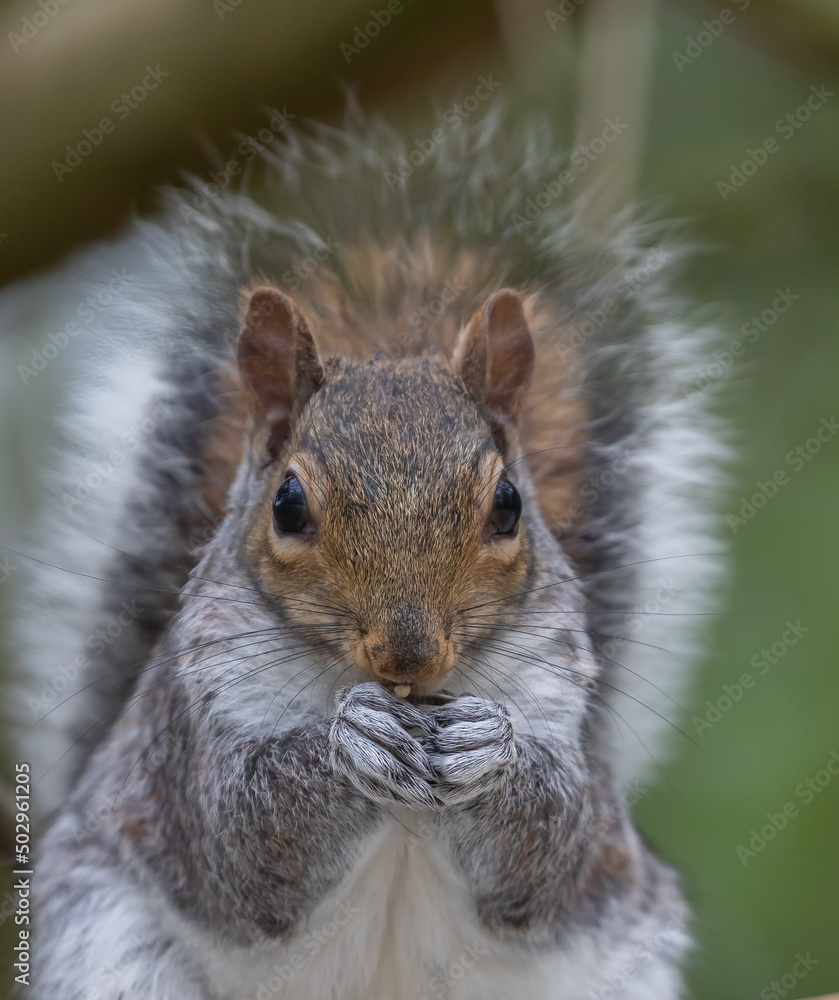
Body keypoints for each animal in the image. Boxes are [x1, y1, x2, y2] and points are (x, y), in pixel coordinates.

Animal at [12, 108, 724, 999]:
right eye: (287, 505)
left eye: (507, 505)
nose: (408, 656)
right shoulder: (190, 722)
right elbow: (237, 838)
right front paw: (351, 741)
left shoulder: (565, 705)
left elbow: (553, 849)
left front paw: (490, 747)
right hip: (110, 944)